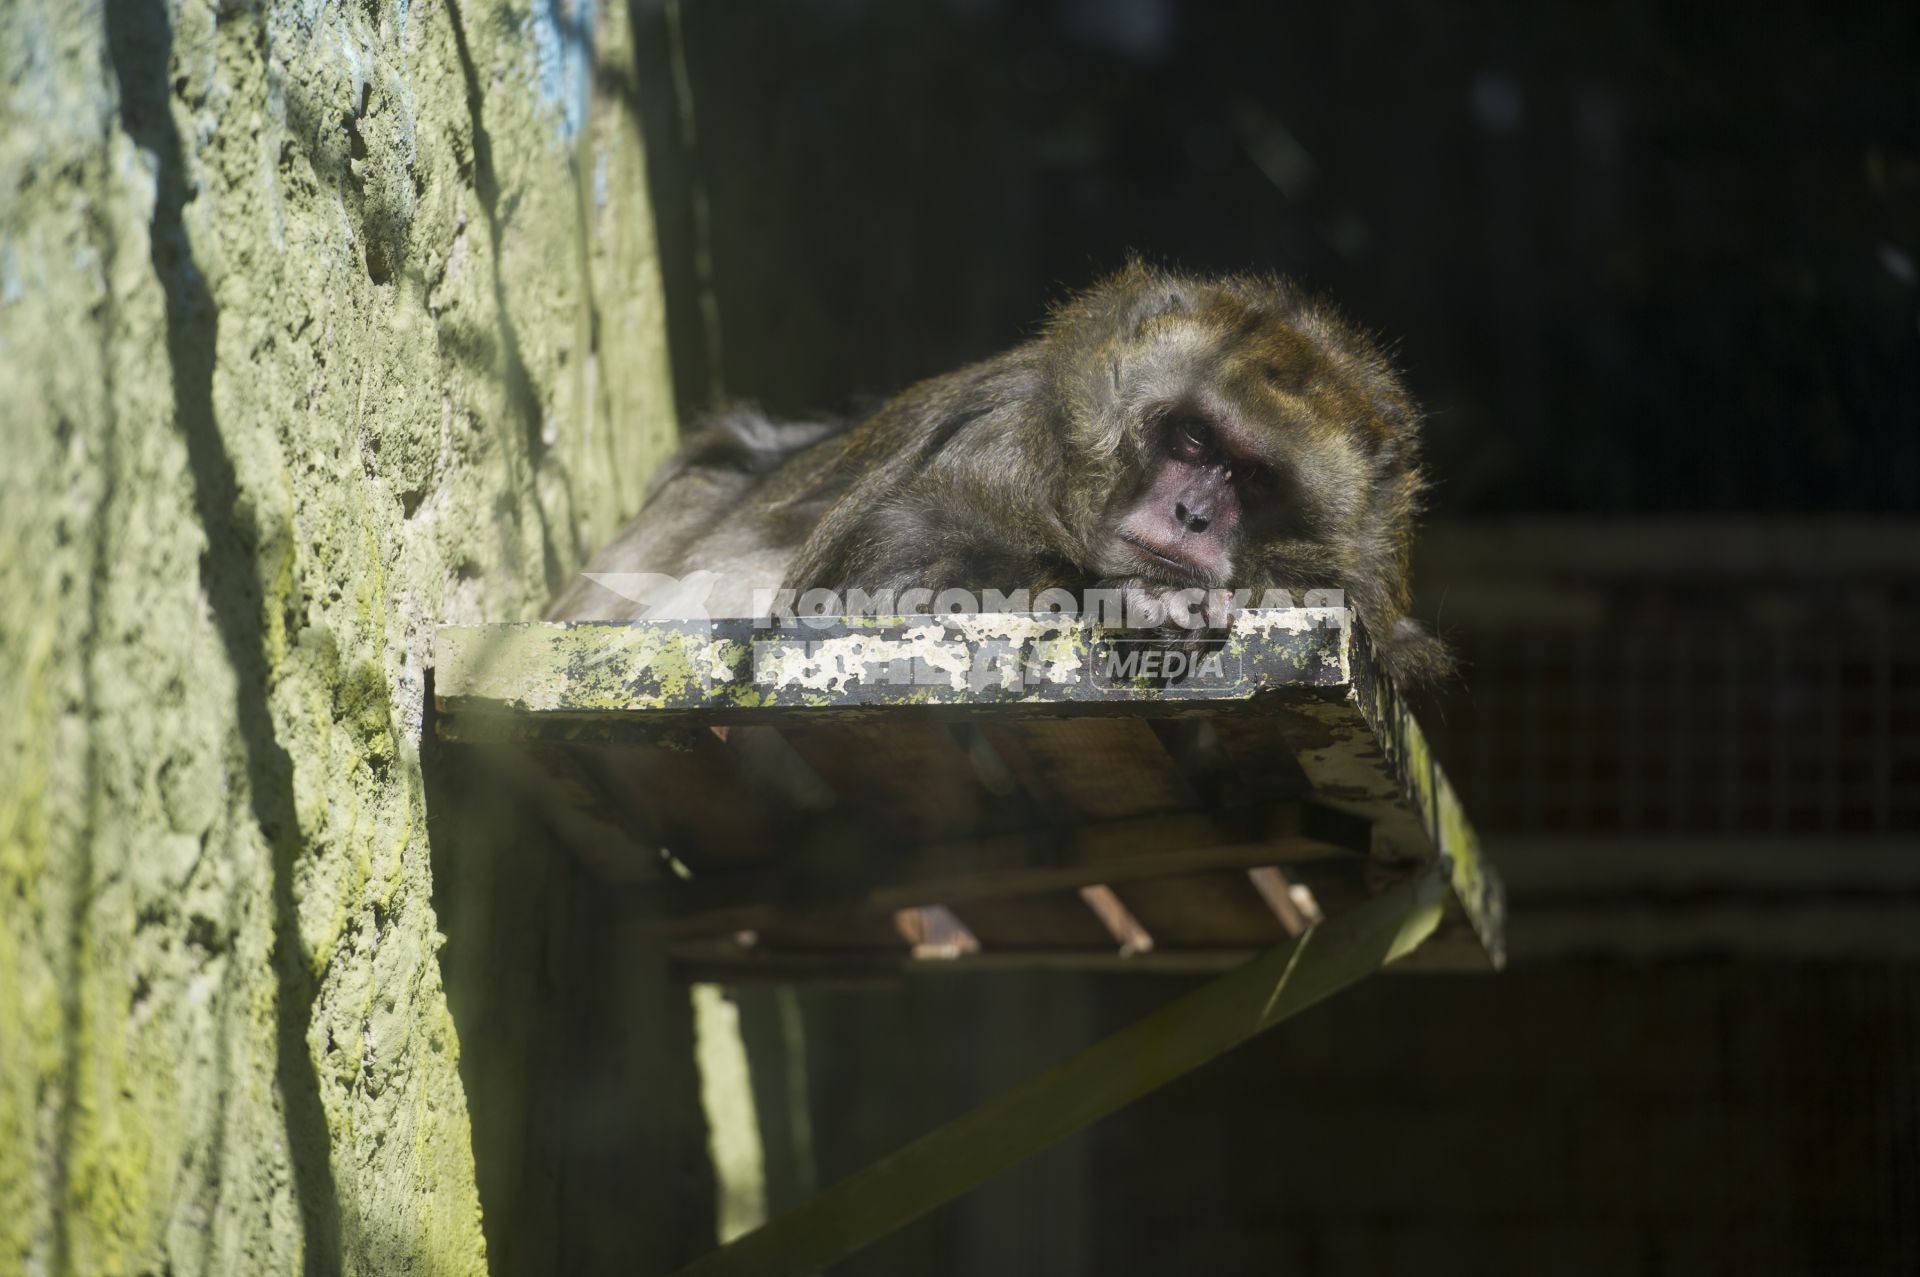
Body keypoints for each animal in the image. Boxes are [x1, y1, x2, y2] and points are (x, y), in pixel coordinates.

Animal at [556, 261, 1451, 687]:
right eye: (1195, 438)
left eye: (1257, 478)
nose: (1194, 515)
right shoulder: (1007, 437)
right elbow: (887, 571)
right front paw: (1132, 596)